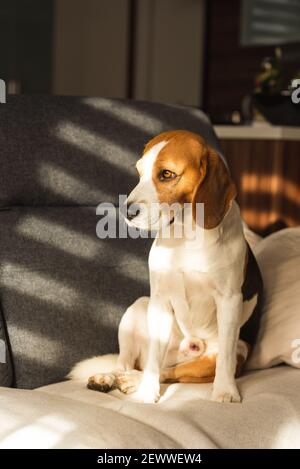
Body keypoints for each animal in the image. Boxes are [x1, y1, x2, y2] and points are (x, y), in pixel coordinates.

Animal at [72, 129, 262, 402]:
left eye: (166, 174)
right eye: (139, 172)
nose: (127, 212)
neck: (187, 235)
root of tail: (186, 347)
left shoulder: (229, 300)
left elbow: (224, 360)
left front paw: (226, 391)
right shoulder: (160, 299)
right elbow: (152, 361)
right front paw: (147, 393)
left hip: (236, 350)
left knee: (173, 370)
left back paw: (132, 380)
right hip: (139, 307)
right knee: (131, 364)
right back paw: (112, 377)